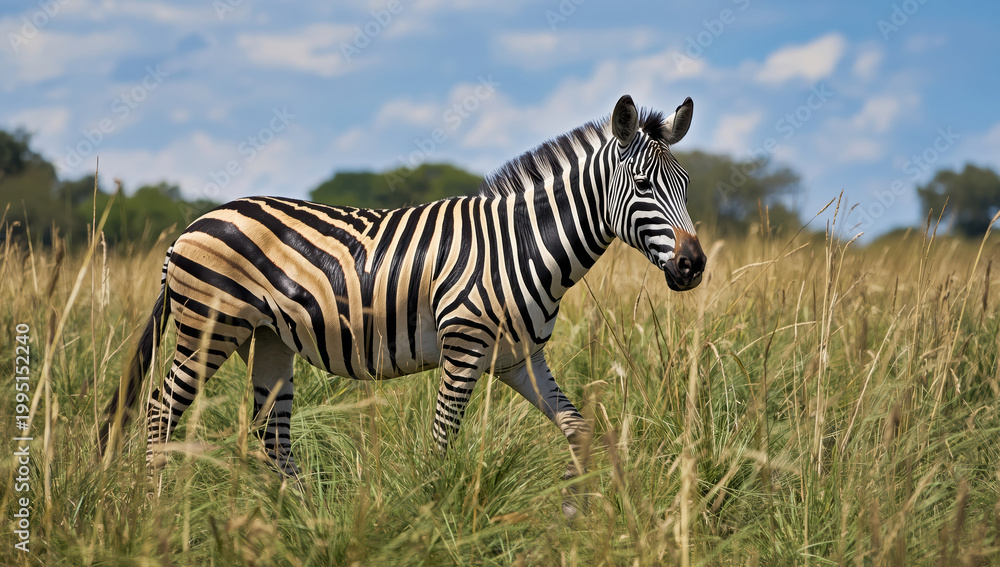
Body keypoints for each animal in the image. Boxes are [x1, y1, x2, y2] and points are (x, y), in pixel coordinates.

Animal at [98, 94, 706, 518]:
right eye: (645, 185)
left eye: (685, 183)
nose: (694, 266)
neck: (521, 243)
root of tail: (192, 225)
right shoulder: (464, 349)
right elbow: (441, 443)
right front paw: (433, 515)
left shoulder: (518, 358)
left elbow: (580, 432)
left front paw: (580, 510)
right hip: (210, 326)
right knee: (160, 410)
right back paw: (156, 509)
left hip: (268, 337)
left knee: (271, 431)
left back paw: (307, 516)